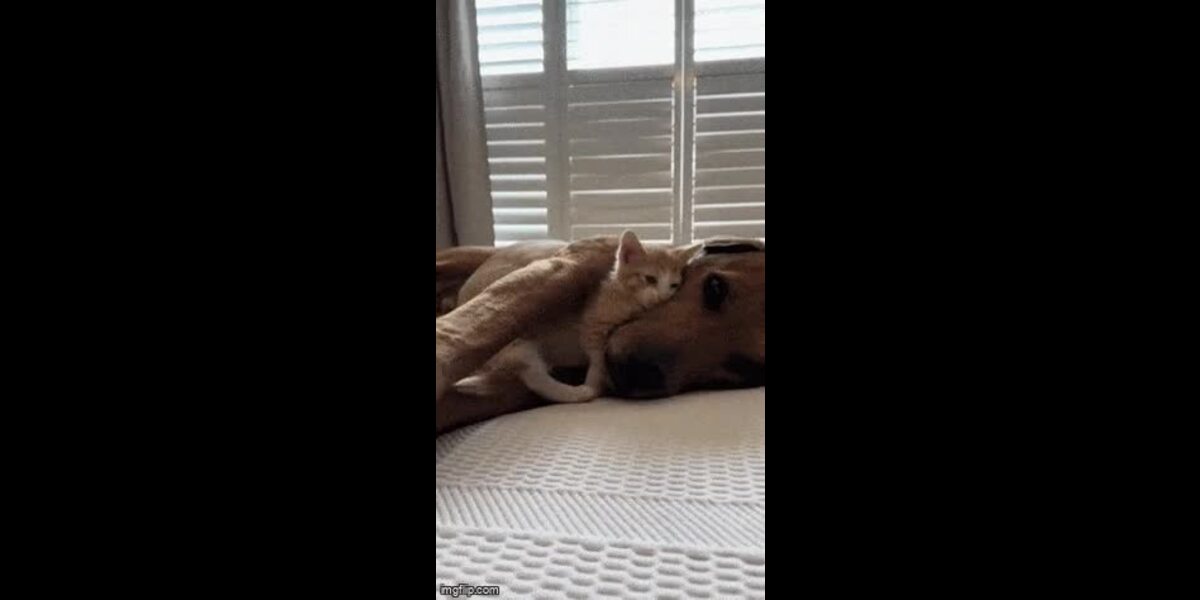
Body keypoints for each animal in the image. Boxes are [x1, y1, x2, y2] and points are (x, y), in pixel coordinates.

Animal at [435, 237, 765, 434]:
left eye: (743, 370)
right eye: (715, 288)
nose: (637, 372)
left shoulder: (512, 387)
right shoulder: (555, 273)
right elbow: (476, 328)